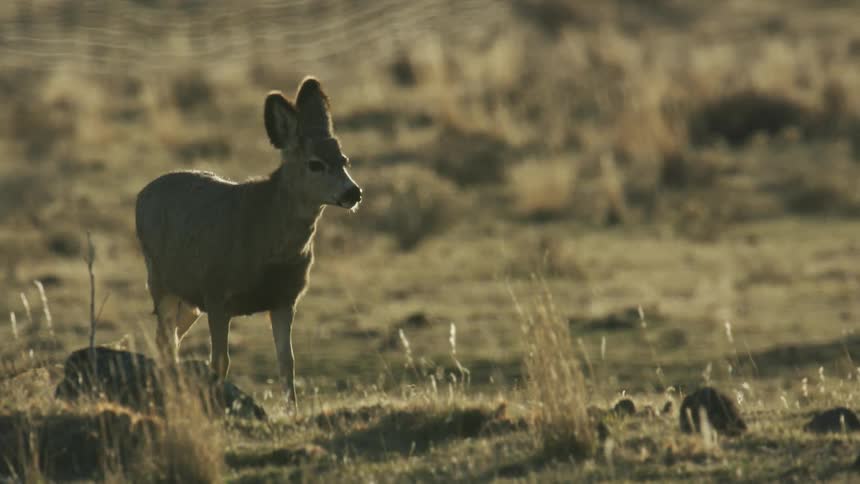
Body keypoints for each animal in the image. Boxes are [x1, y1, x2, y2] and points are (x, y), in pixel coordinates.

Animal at [135, 77, 361, 411]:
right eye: (315, 164)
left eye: (344, 160)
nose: (353, 193)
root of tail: (142, 195)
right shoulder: (217, 293)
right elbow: (220, 361)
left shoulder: (284, 298)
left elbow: (287, 361)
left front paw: (292, 410)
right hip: (160, 281)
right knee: (165, 339)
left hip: (188, 299)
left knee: (171, 337)